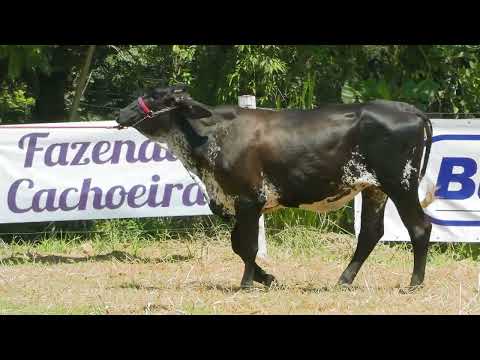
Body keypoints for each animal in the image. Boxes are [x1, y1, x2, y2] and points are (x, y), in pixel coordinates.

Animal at [117, 85, 436, 292]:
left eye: (156, 97)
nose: (121, 113)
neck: (212, 134)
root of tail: (407, 108)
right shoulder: (237, 202)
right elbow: (237, 244)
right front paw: (267, 278)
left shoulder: (248, 199)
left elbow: (248, 246)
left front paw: (247, 284)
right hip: (374, 189)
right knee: (370, 233)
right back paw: (344, 280)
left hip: (401, 185)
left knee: (419, 227)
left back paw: (415, 283)